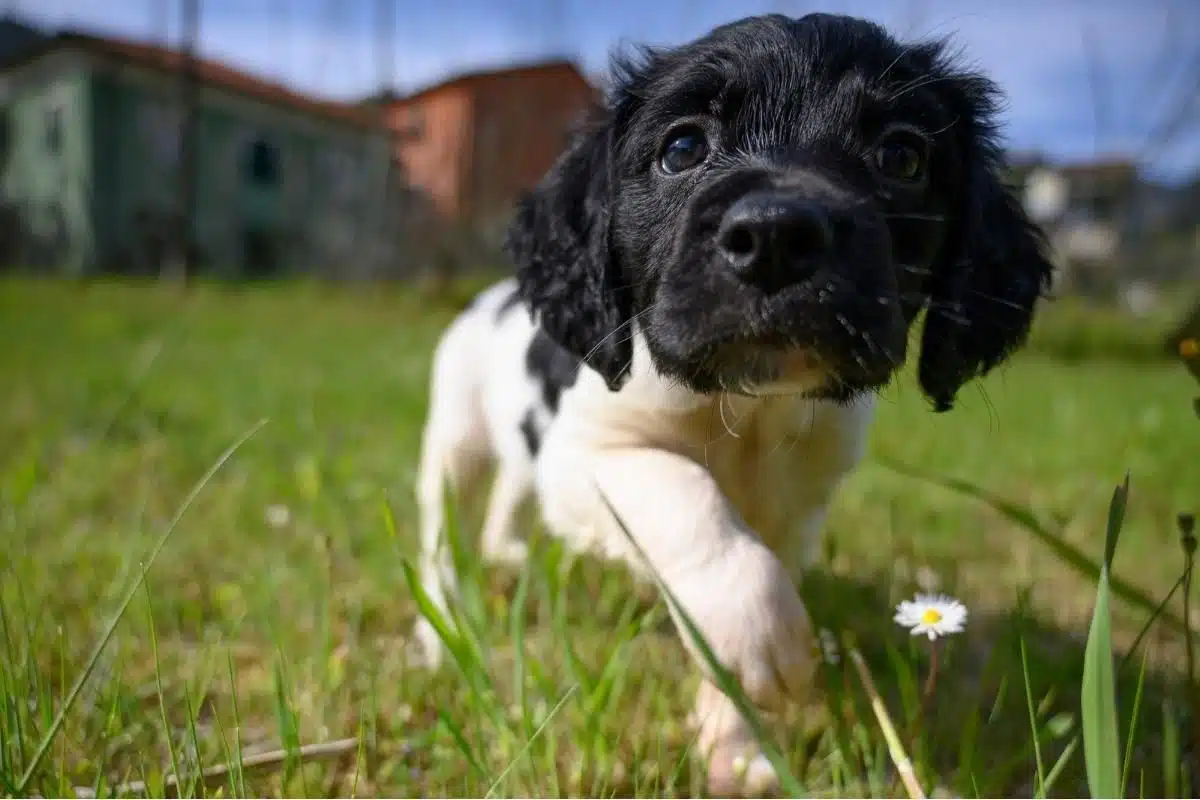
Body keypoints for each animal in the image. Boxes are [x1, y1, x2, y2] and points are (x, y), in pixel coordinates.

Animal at [412, 12, 1051, 796]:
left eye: (901, 156)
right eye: (682, 148)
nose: (776, 234)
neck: (751, 410)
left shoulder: (791, 514)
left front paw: (736, 742)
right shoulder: (589, 451)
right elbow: (686, 496)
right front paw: (757, 631)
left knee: (509, 498)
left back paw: (506, 554)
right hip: (456, 444)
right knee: (441, 535)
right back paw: (442, 624)